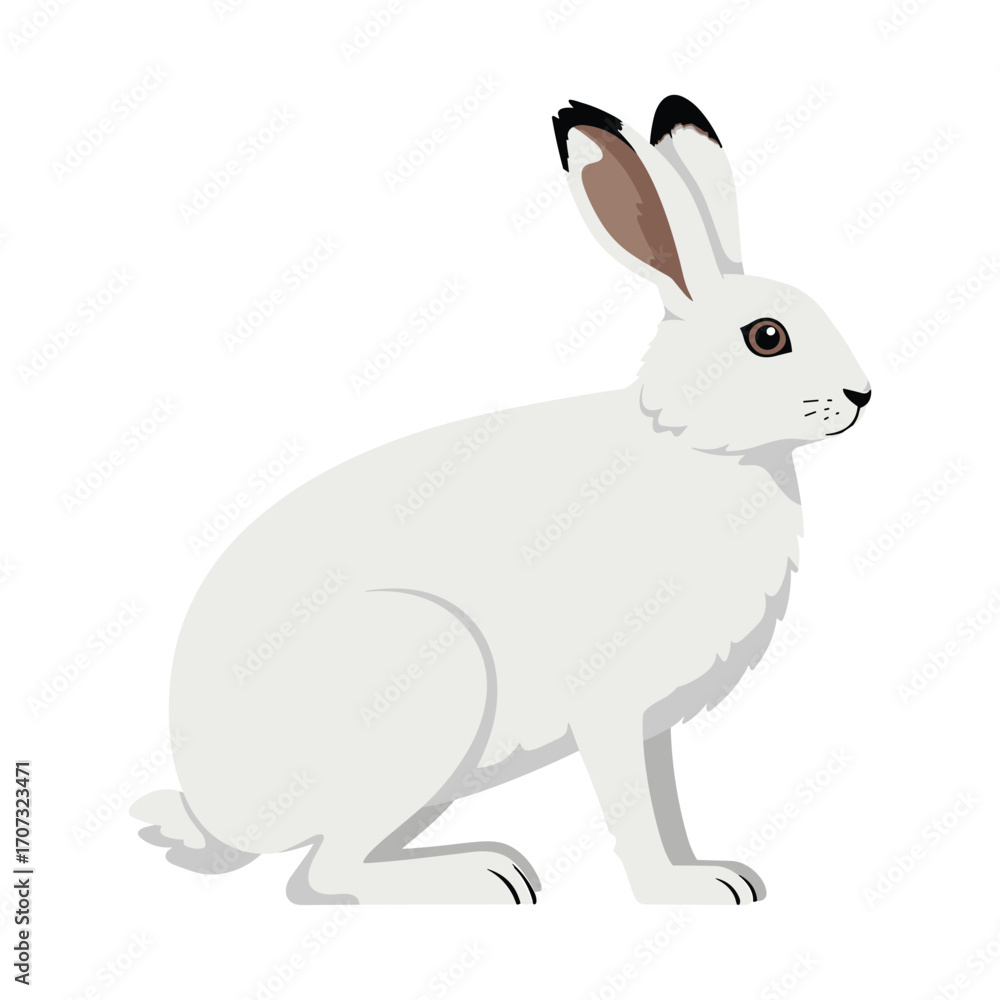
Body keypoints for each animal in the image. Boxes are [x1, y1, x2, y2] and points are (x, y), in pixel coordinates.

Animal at [131, 94, 870, 905]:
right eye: (767, 338)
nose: (861, 396)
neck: (693, 443)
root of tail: (216, 811)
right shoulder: (612, 704)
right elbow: (634, 806)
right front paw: (689, 890)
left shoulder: (652, 723)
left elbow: (663, 796)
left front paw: (708, 872)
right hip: (423, 687)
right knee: (323, 875)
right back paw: (489, 874)